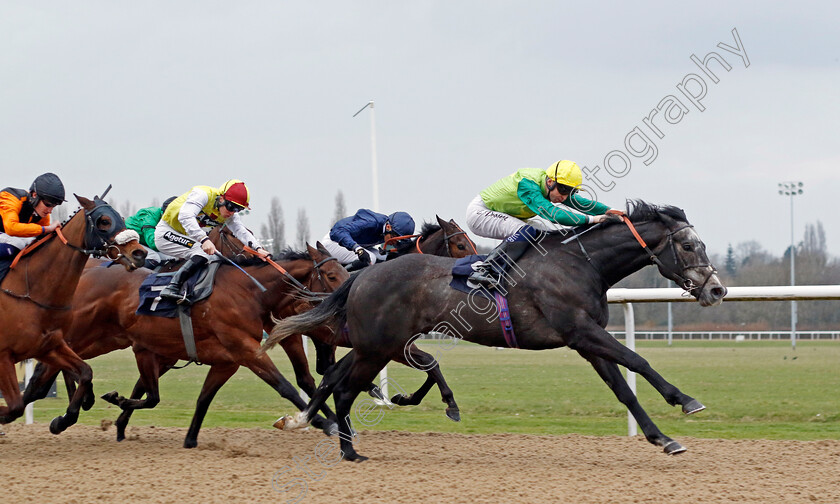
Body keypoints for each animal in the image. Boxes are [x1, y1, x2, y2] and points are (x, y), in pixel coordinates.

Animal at [0, 195, 146, 432]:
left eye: (121, 218)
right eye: (104, 221)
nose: (140, 253)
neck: (28, 291)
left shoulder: (48, 346)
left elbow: (85, 372)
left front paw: (64, 419)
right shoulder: (4, 355)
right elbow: (15, 405)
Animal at [264, 201, 728, 460]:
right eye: (688, 245)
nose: (716, 289)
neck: (581, 264)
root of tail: (361, 276)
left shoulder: (585, 341)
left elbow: (623, 389)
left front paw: (662, 438)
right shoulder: (581, 331)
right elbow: (638, 359)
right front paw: (686, 401)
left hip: (375, 345)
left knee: (335, 379)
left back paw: (311, 424)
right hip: (378, 346)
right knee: (343, 388)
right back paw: (347, 450)